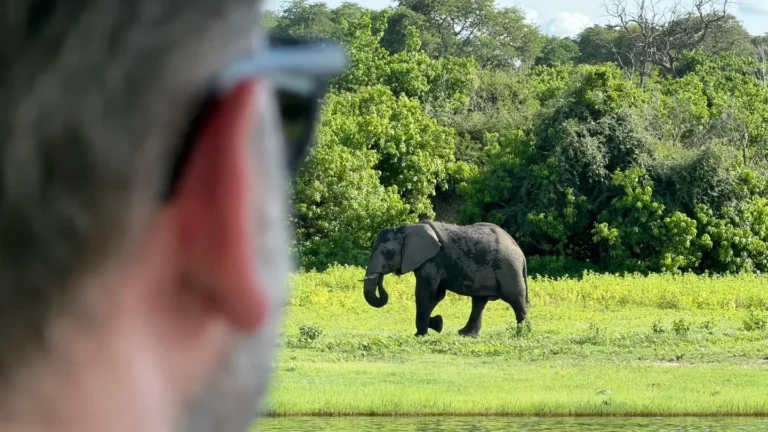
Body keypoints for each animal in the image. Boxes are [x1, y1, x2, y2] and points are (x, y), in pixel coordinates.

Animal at [361, 219, 529, 337]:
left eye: (387, 252)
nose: (381, 277)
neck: (406, 229)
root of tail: (520, 252)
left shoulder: (433, 260)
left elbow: (425, 292)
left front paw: (420, 335)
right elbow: (437, 295)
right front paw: (437, 324)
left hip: (508, 269)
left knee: (516, 299)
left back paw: (522, 334)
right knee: (479, 301)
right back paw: (466, 335)